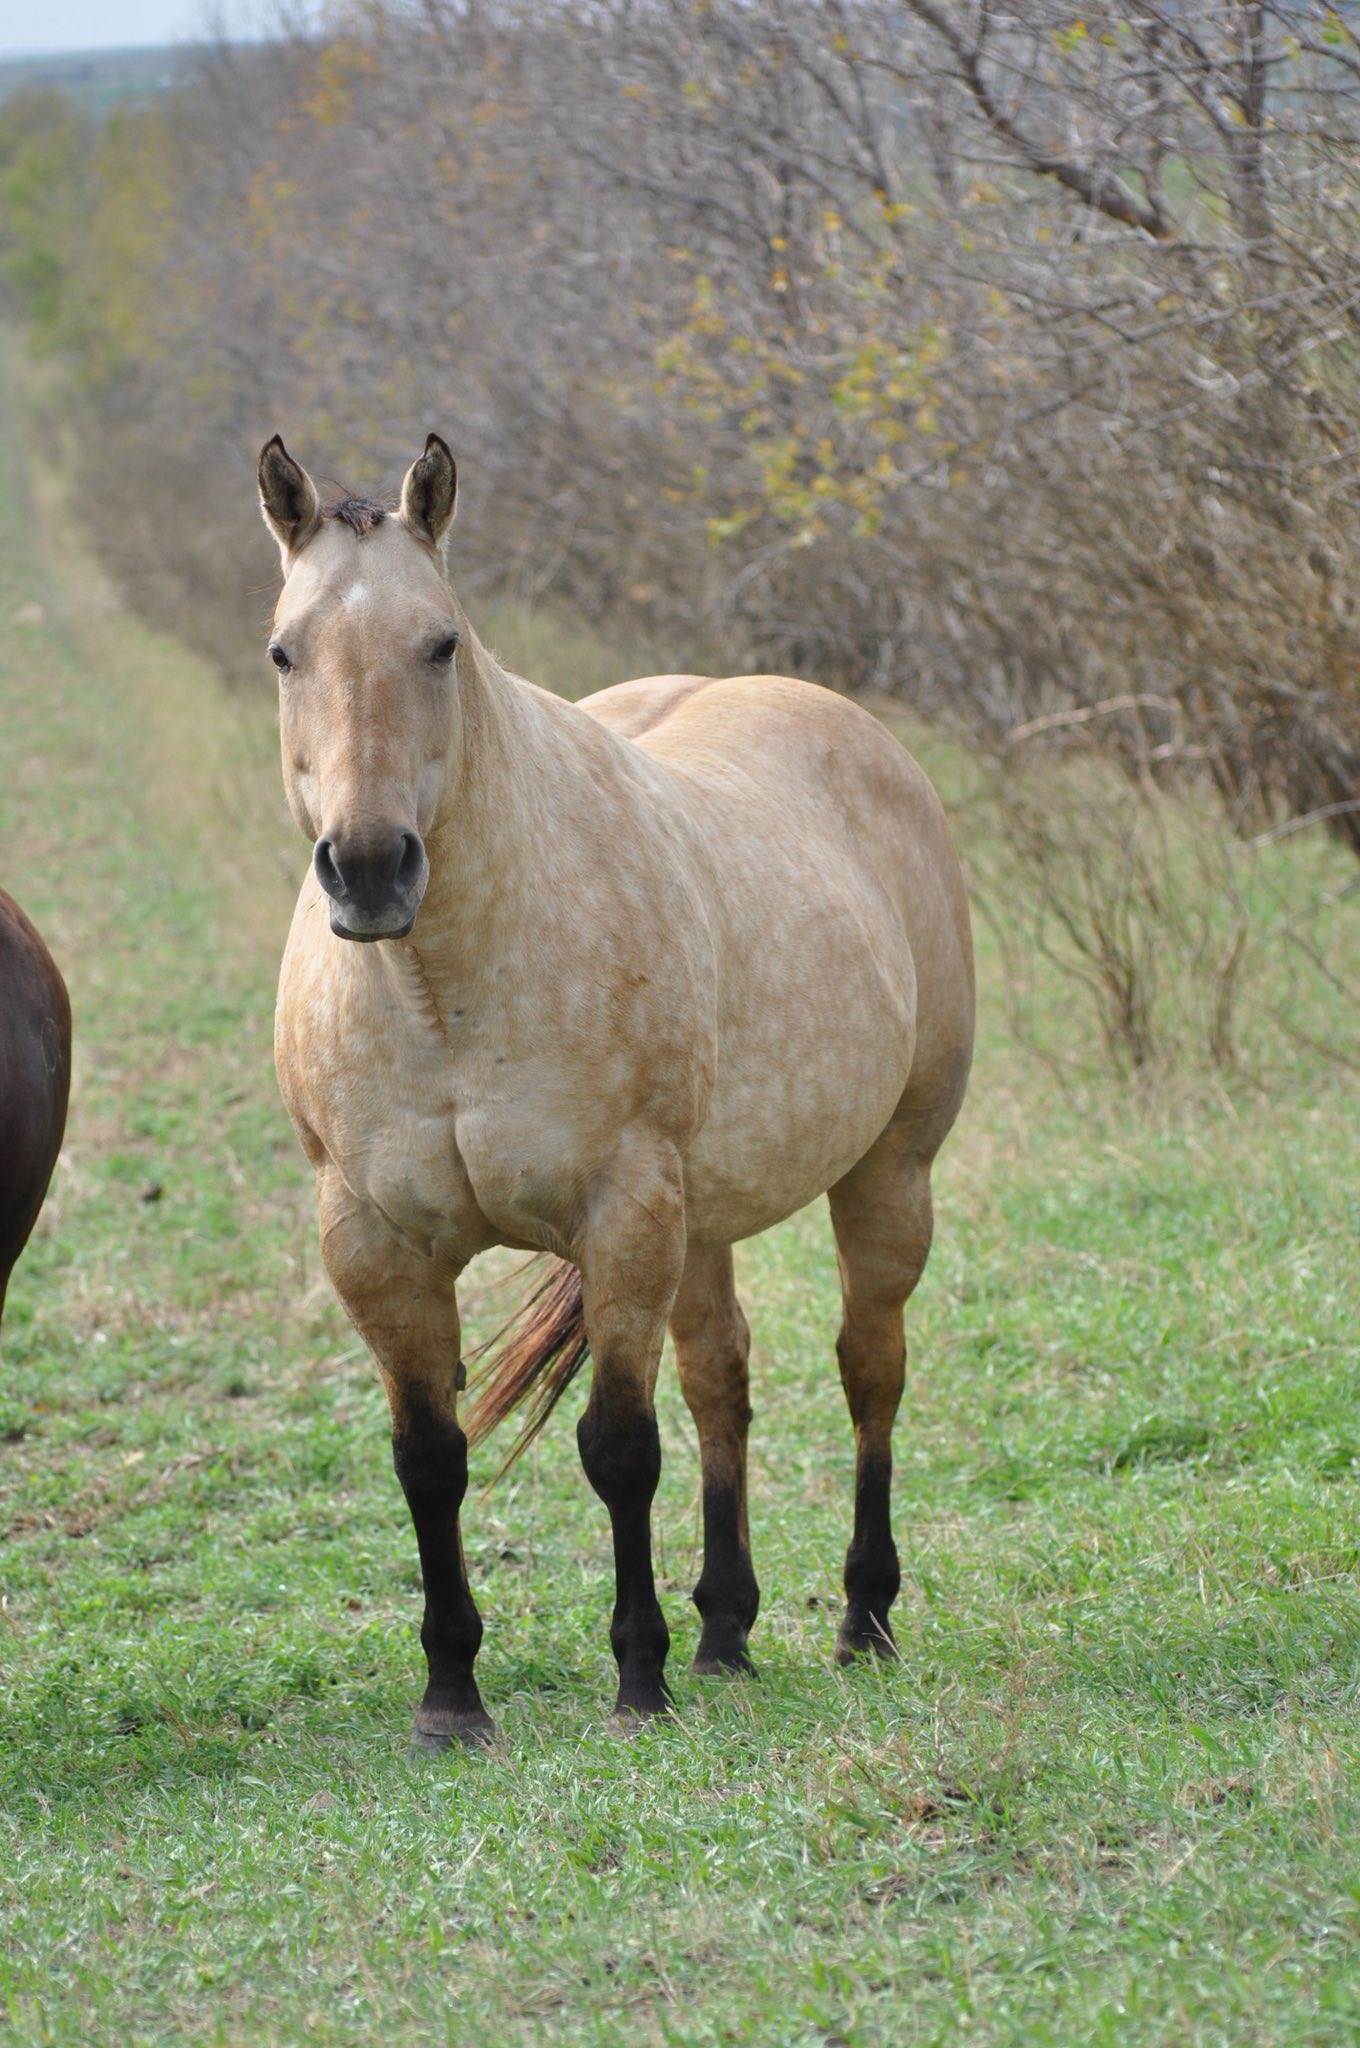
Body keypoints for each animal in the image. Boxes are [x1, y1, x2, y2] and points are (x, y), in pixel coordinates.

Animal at [259, 433, 974, 1747]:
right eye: (287, 650)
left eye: (441, 642)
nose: (372, 866)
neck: (444, 991)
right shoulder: (375, 1244)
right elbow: (429, 1457)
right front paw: (451, 1694)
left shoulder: (623, 1210)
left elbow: (619, 1447)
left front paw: (637, 1676)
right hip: (705, 1215)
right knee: (721, 1379)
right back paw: (726, 1631)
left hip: (886, 1171)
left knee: (869, 1366)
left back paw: (862, 1615)